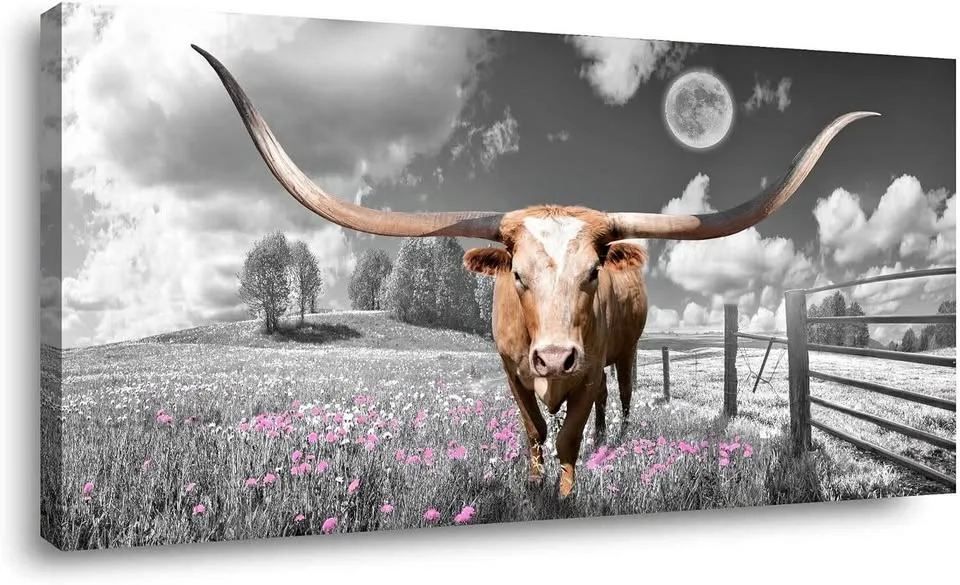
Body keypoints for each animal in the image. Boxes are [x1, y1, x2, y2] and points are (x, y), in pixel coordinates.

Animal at [192, 44, 877, 497]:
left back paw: (609, 443)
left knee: (620, 399)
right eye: (517, 276)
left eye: (592, 274)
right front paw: (534, 483)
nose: (552, 357)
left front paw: (568, 491)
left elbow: (571, 430)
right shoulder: (512, 372)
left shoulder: (588, 367)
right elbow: (534, 430)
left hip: (624, 354)